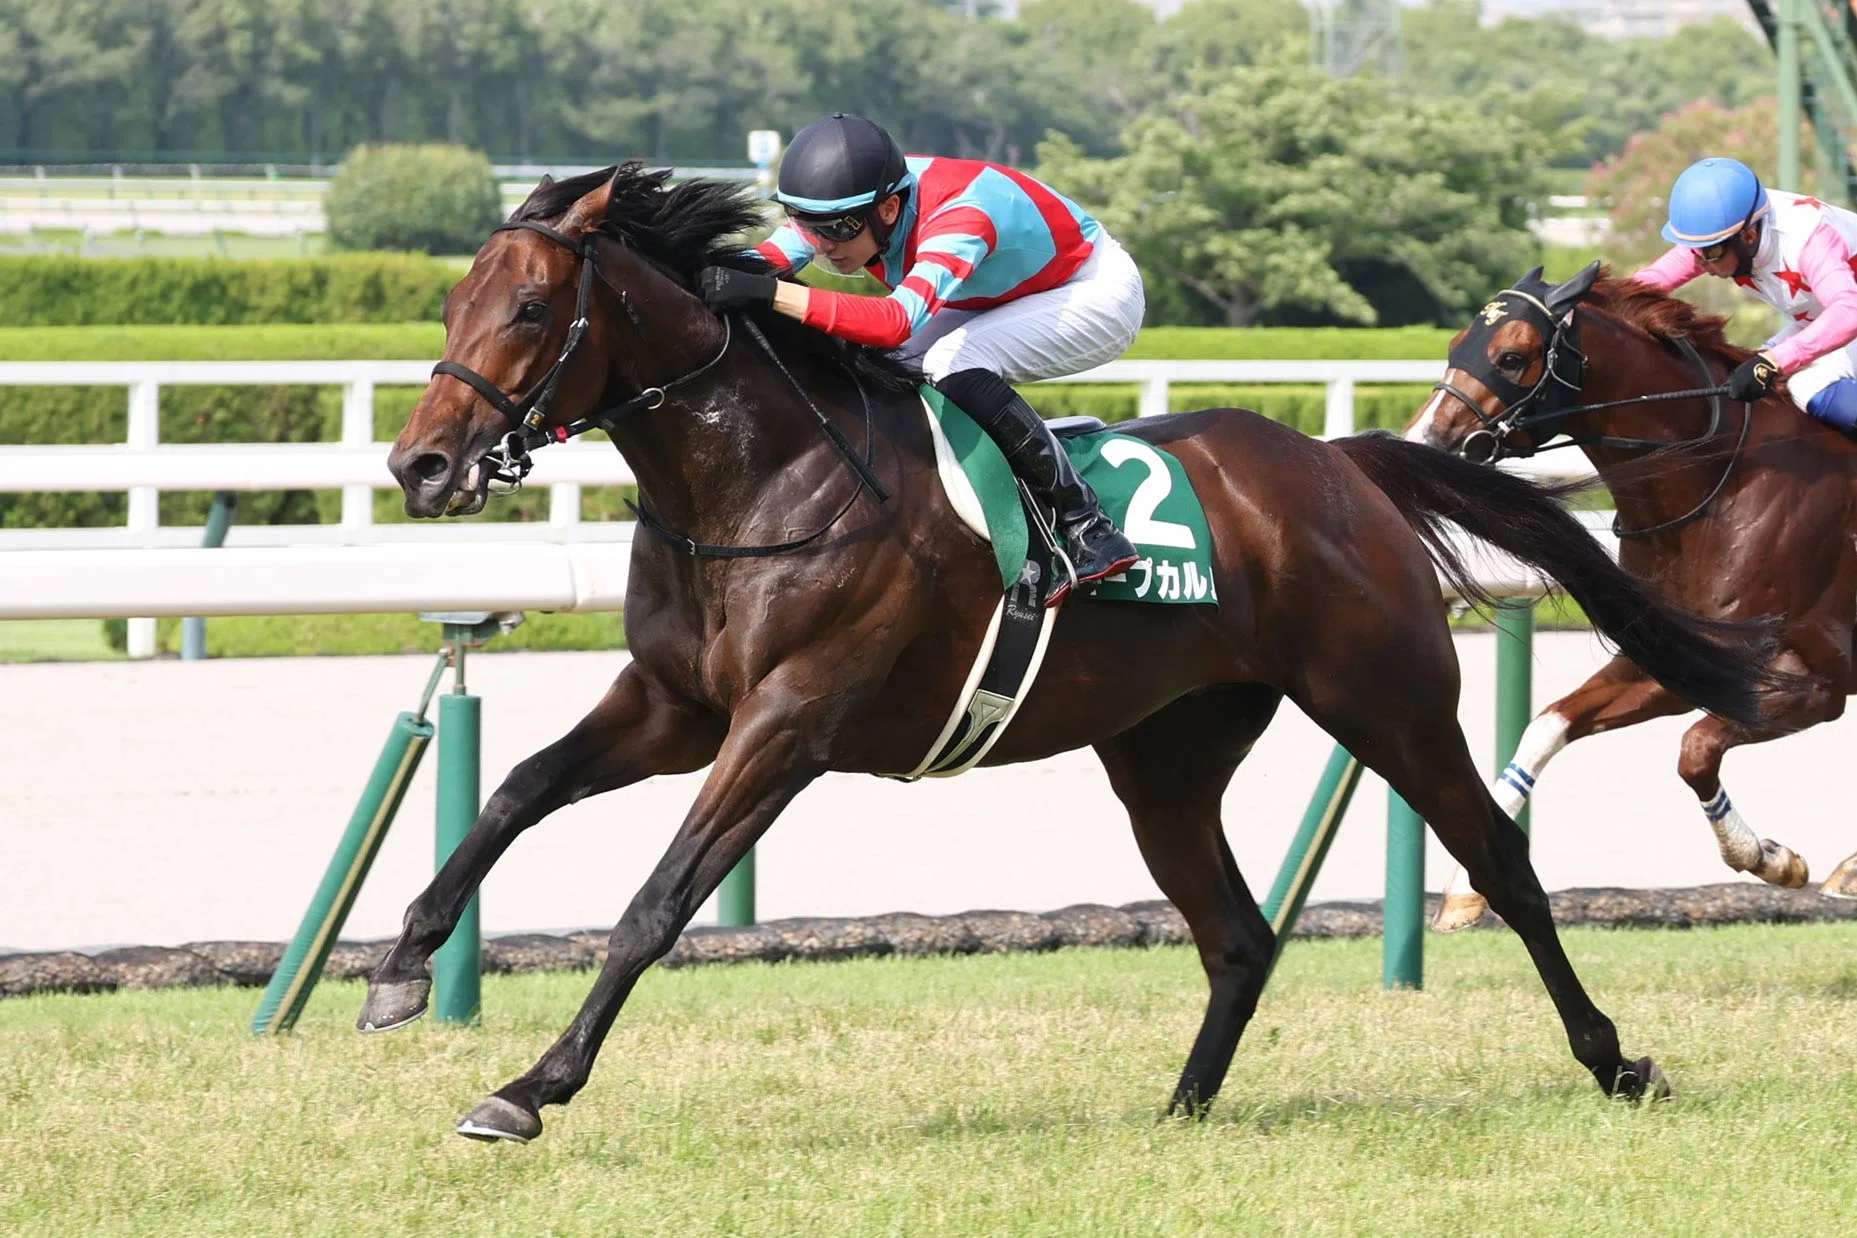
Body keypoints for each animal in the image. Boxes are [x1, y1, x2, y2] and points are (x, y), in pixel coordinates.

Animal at [360, 165, 1776, 1143]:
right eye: (453, 300)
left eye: (529, 307)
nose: (419, 465)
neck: (759, 479)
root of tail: (1340, 462)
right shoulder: (673, 704)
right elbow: (514, 792)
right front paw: (398, 968)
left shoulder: (788, 721)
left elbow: (655, 901)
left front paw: (529, 1085)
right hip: (1165, 754)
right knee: (1237, 934)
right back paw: (1185, 1105)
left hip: (1390, 702)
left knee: (1501, 863)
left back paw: (1616, 1058)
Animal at [1408, 261, 1857, 933]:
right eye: (1458, 344)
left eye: (1511, 357)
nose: (1423, 440)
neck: (1721, 488)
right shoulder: (1670, 658)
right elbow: (1547, 725)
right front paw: (1467, 887)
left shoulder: (1811, 686)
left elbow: (1695, 750)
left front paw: (1771, 860)